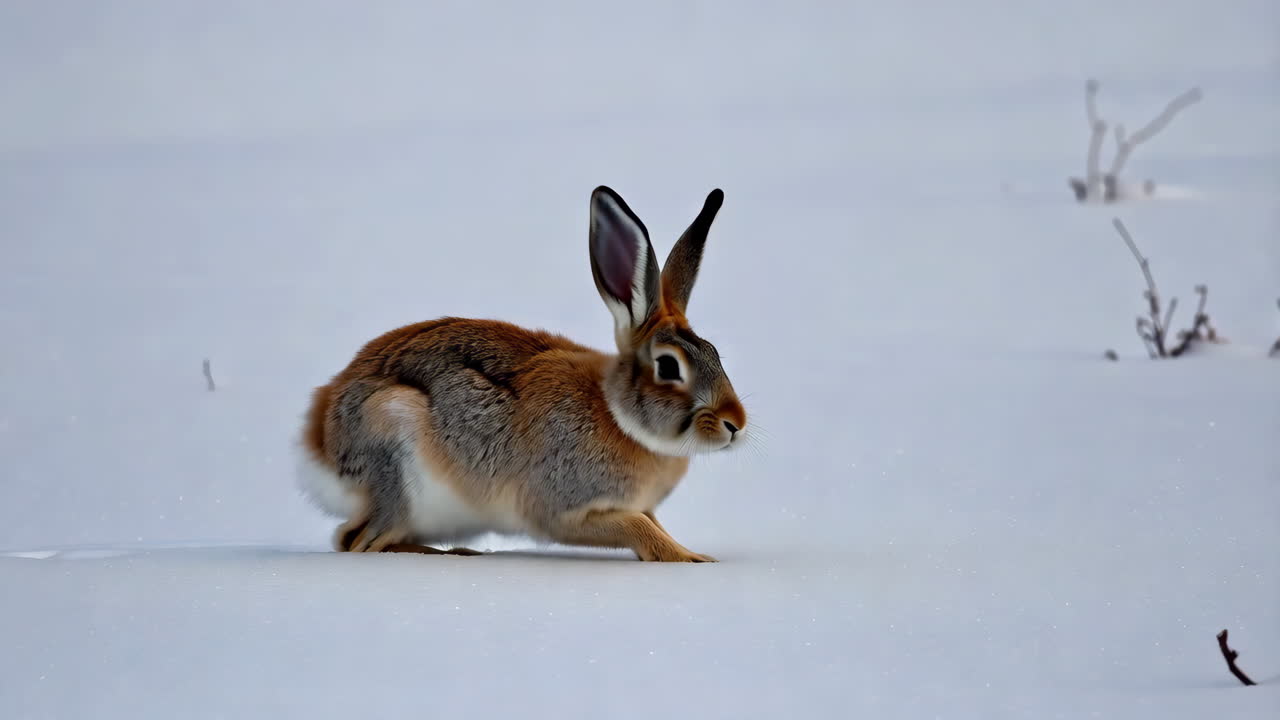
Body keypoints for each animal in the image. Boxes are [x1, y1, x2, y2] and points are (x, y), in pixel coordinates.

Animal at [295, 186, 747, 562]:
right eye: (669, 365)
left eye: (714, 353)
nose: (735, 424)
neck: (618, 416)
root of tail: (319, 443)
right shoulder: (566, 511)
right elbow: (636, 526)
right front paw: (688, 560)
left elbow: (653, 523)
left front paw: (691, 554)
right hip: (397, 454)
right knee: (357, 542)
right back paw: (452, 555)